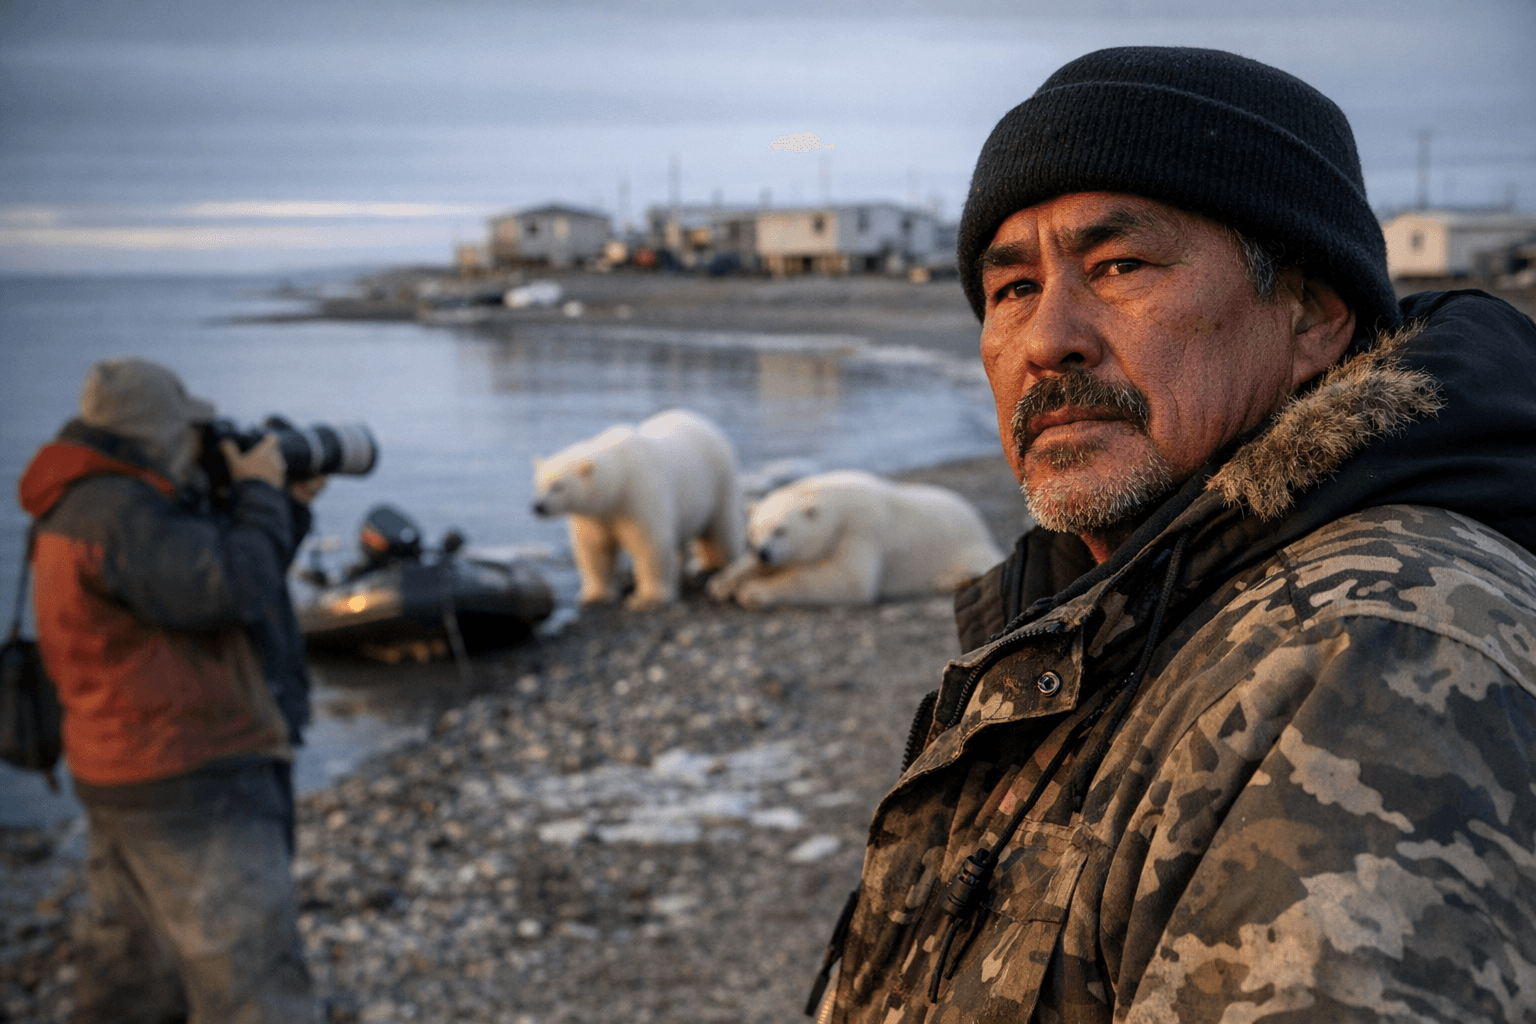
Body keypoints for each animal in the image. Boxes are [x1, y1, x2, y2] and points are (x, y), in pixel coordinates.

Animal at [533, 409, 744, 609]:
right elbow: (595, 549)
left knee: (720, 530)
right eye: (540, 485)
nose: (538, 507)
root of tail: (704, 422)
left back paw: (716, 564)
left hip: (719, 483)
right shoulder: (595, 515)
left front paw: (647, 599)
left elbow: (650, 545)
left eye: (558, 486)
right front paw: (596, 596)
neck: (619, 480)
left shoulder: (639, 498)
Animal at [706, 469, 1004, 608]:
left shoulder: (860, 528)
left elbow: (850, 580)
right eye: (752, 533)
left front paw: (753, 591)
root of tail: (979, 521)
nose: (763, 553)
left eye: (781, 530)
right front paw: (723, 583)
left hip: (965, 544)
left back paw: (950, 580)